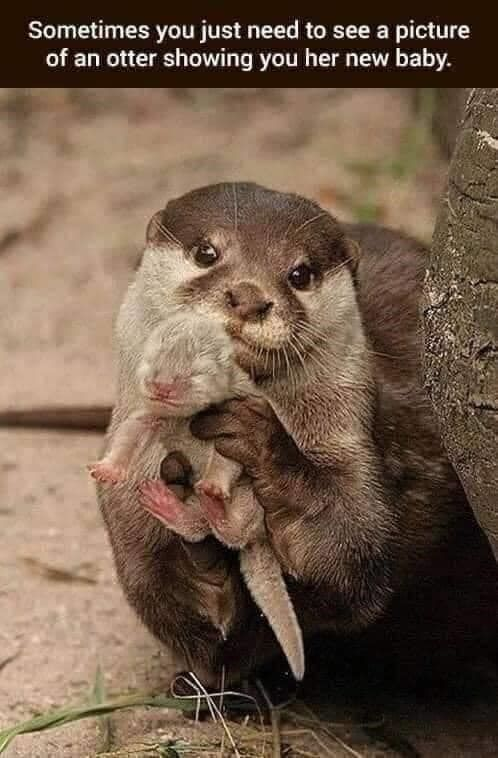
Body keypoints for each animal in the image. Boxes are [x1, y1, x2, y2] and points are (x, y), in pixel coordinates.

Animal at [1, 183, 496, 686]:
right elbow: (178, 617)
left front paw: (260, 442)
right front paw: (198, 555)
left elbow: (354, 554)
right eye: (206, 252)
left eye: (300, 274)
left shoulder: (360, 446)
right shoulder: (127, 509)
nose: (247, 296)